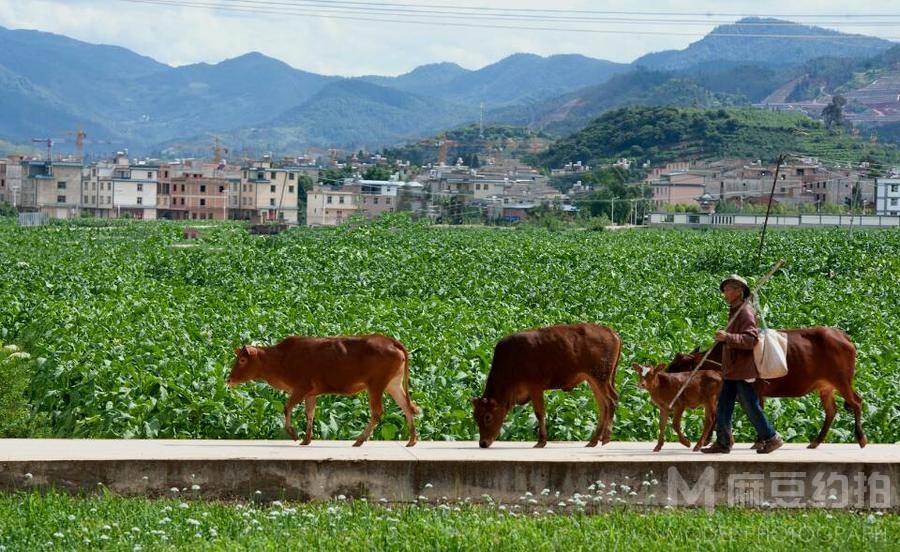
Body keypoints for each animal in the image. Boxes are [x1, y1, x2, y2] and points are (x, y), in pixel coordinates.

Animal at [227, 334, 420, 446]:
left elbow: (287, 408)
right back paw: (411, 440)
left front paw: (293, 433)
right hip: (393, 384)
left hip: (376, 385)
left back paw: (359, 440)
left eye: (242, 360)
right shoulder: (310, 393)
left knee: (377, 412)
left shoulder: (301, 387)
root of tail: (390, 340)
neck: (281, 358)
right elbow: (310, 413)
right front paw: (306, 439)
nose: (228, 379)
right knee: (407, 407)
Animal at [472, 324, 620, 448]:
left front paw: (541, 441)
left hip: (600, 378)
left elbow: (540, 413)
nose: (483, 443)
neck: (512, 360)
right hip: (593, 380)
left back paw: (605, 438)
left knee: (610, 401)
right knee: (602, 405)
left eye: (487, 417)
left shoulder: (535, 388)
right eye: (475, 417)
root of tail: (610, 331)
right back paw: (593, 441)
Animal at [668, 328, 864, 448]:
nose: (664, 376)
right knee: (832, 410)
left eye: (678, 366)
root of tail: (842, 335)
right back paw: (815, 442)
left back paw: (861, 438)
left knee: (856, 402)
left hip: (842, 381)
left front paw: (759, 441)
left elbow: (755, 413)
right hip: (825, 387)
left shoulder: (755, 391)